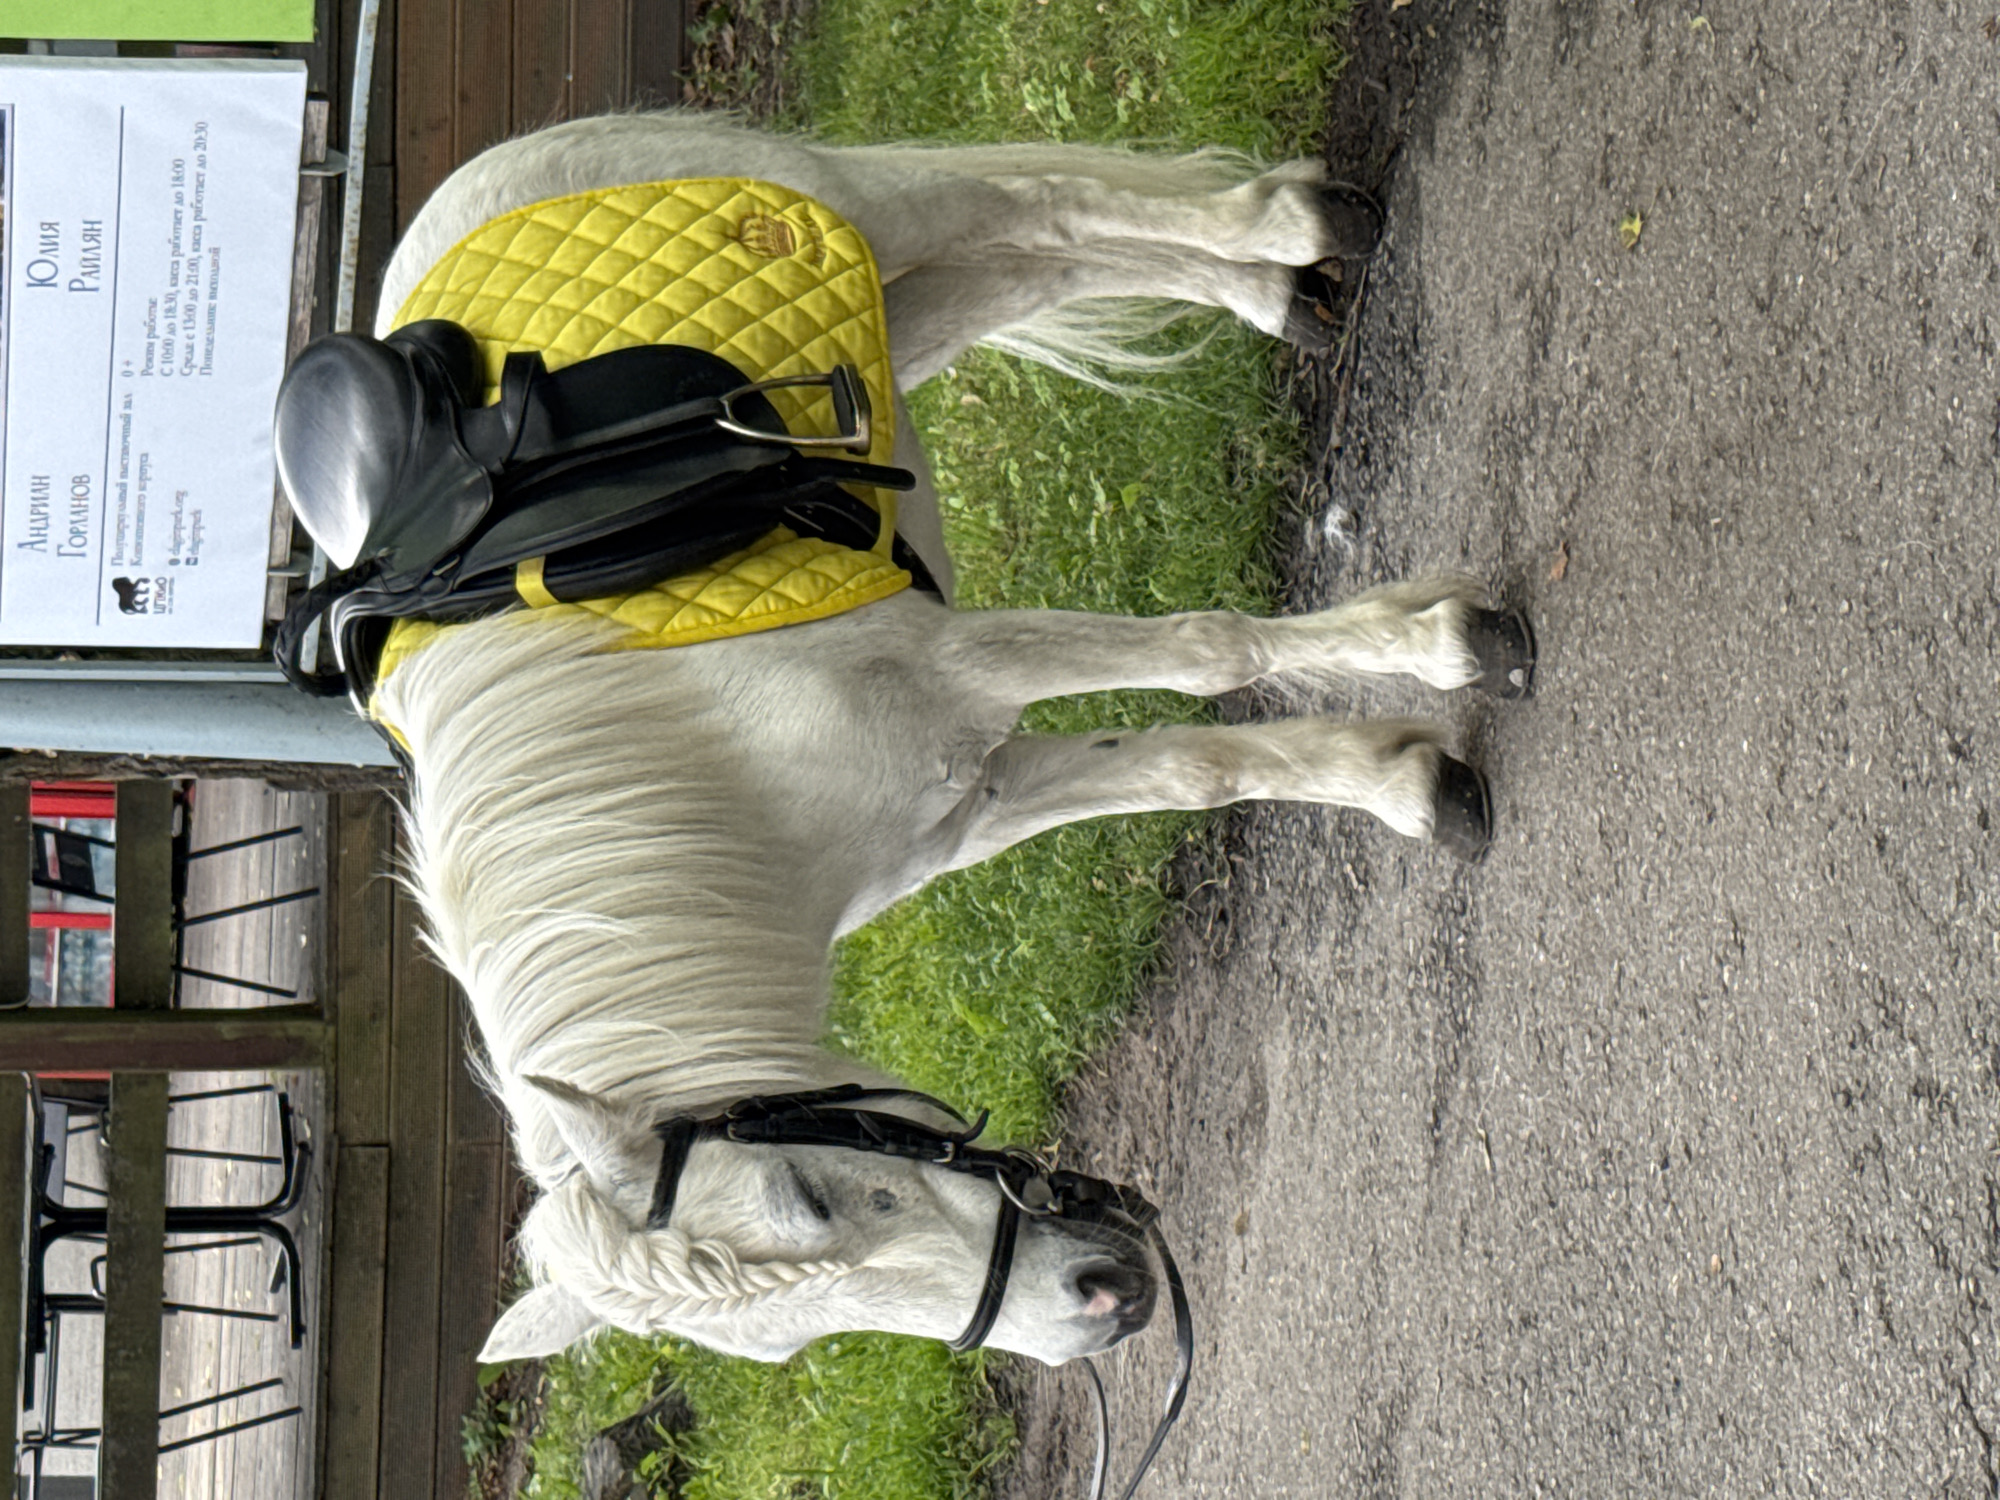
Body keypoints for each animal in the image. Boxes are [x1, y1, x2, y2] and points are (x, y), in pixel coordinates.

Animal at [360, 112, 1532, 1370]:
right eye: (785, 1349)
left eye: (809, 1198)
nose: (1107, 1304)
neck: (722, 792)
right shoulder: (973, 801)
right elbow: (1192, 765)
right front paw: (1402, 778)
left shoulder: (965, 672)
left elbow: (1209, 654)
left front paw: (1444, 649)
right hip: (901, 319)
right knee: (1042, 264)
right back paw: (1276, 293)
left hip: (885, 216)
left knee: (1046, 204)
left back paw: (1293, 229)